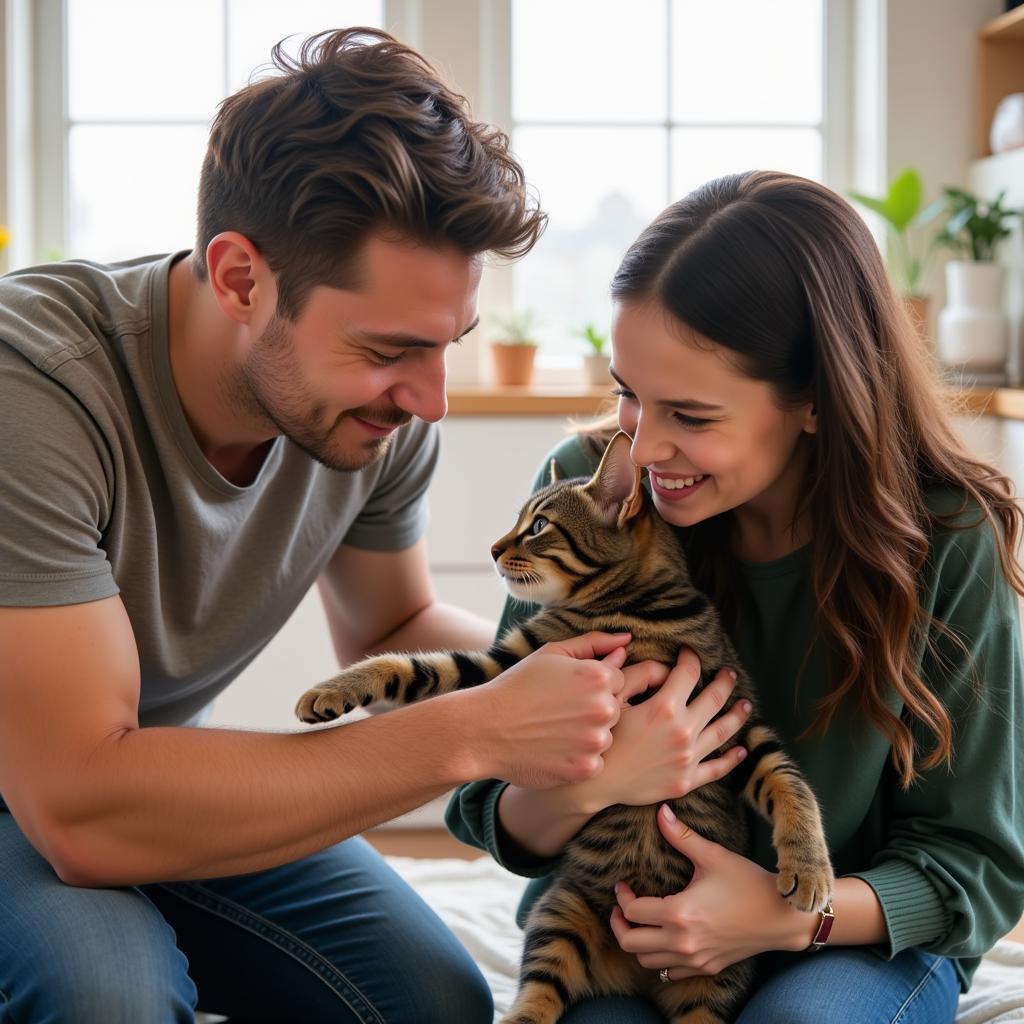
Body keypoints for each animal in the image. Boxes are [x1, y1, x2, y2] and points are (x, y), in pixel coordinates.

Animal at [294, 432, 831, 1024]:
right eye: (519, 521)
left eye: (539, 526)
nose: (493, 549)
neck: (626, 610)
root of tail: (640, 974)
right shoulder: (507, 666)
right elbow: (417, 666)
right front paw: (334, 689)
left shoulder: (736, 719)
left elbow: (790, 784)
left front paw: (810, 869)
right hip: (561, 913)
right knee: (541, 991)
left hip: (718, 973)